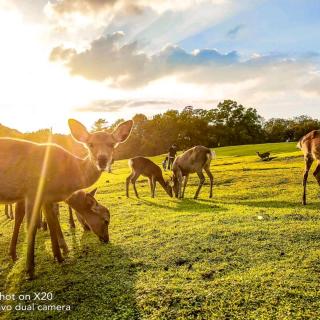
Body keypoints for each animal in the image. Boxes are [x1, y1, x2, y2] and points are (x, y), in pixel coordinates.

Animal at [0, 119, 132, 278]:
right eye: (106, 220)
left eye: (112, 144)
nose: (102, 160)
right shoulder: (32, 192)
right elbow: (30, 225)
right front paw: (30, 270)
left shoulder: (46, 198)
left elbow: (52, 221)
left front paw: (60, 256)